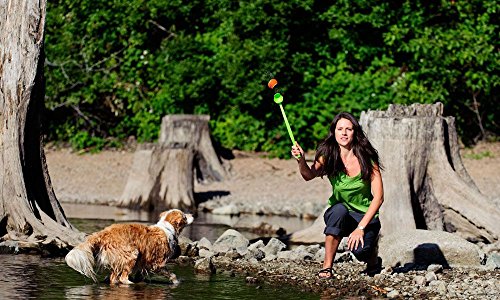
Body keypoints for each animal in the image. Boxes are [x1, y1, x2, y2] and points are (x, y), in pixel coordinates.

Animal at [64, 209, 193, 284]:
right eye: (184, 216)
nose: (192, 214)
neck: (167, 228)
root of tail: (104, 233)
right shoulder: (158, 263)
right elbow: (172, 274)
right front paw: (176, 281)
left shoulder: (144, 264)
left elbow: (141, 275)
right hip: (132, 254)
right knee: (122, 278)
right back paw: (129, 283)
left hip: (119, 260)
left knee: (113, 278)